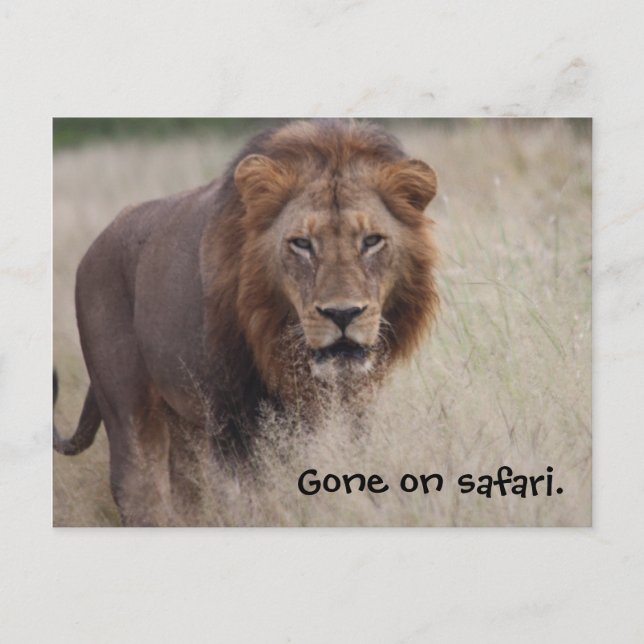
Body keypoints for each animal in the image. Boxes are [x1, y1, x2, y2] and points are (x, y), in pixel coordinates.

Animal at [53, 119, 439, 526]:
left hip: (185, 427)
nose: (343, 313)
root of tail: (94, 246)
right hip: (129, 411)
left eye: (372, 241)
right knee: (140, 490)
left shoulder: (355, 411)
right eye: (302, 243)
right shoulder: (231, 422)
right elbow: (248, 504)